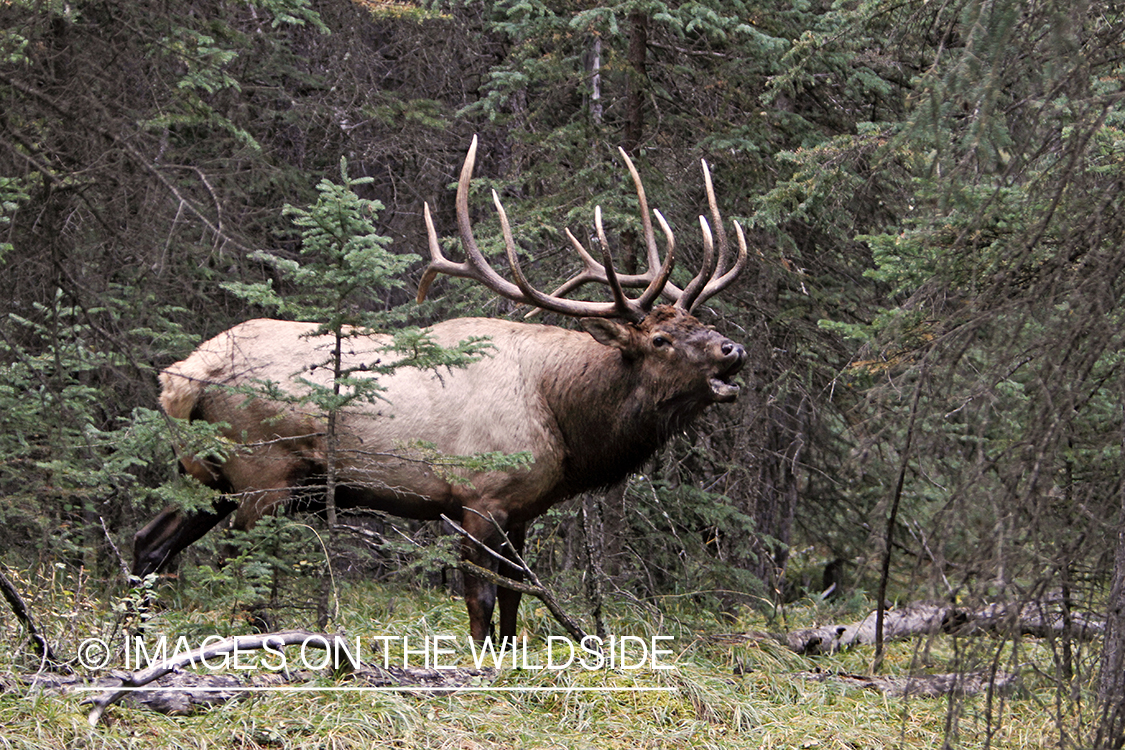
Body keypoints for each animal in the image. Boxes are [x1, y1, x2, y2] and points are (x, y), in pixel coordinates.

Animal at [133, 136, 747, 638]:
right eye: (661, 339)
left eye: (703, 321)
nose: (733, 350)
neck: (563, 419)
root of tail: (180, 379)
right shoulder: (480, 496)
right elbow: (480, 600)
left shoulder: (523, 511)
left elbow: (515, 601)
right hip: (262, 472)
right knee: (243, 568)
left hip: (208, 476)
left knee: (151, 541)